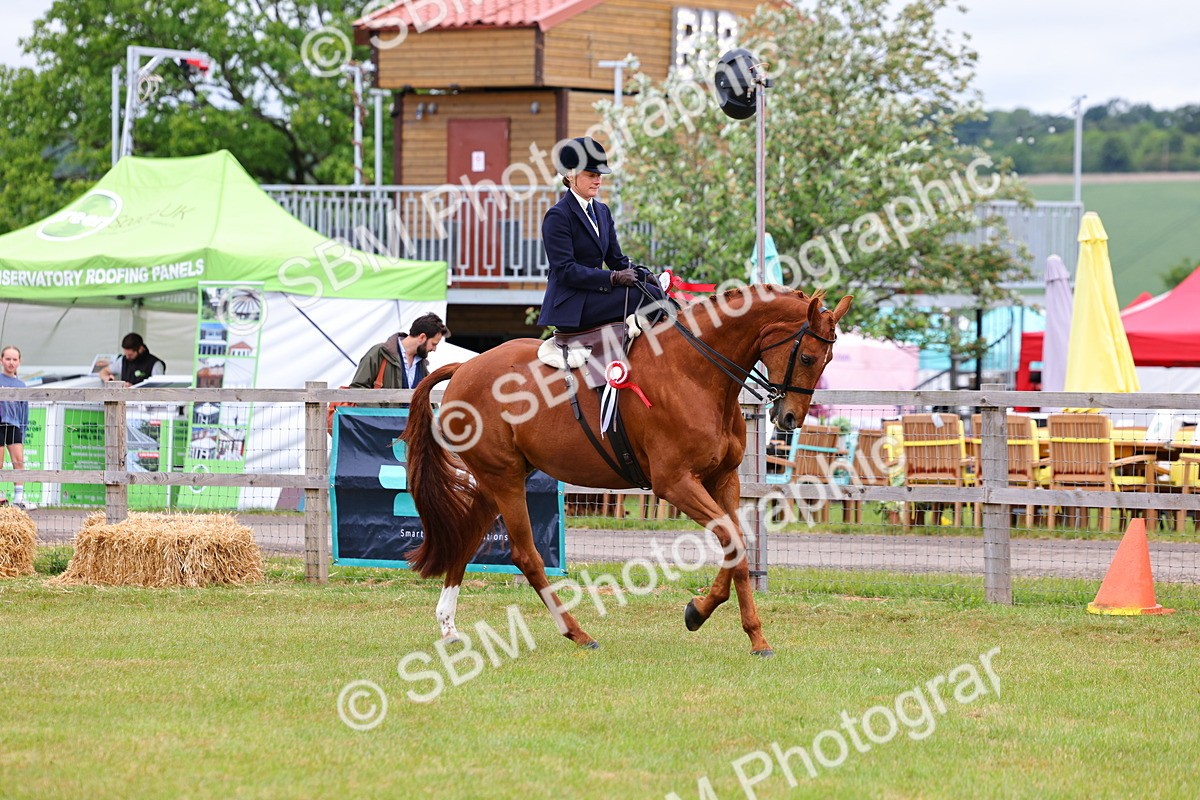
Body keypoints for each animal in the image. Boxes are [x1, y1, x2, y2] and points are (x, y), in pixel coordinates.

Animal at [401, 284, 852, 656]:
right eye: (808, 356)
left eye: (829, 358)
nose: (789, 418)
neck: (695, 371)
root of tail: (464, 368)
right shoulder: (676, 484)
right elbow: (733, 542)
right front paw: (700, 612)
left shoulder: (722, 480)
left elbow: (737, 547)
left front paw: (751, 636)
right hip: (505, 478)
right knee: (526, 555)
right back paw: (577, 633)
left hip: (499, 477)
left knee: (467, 535)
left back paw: (448, 626)